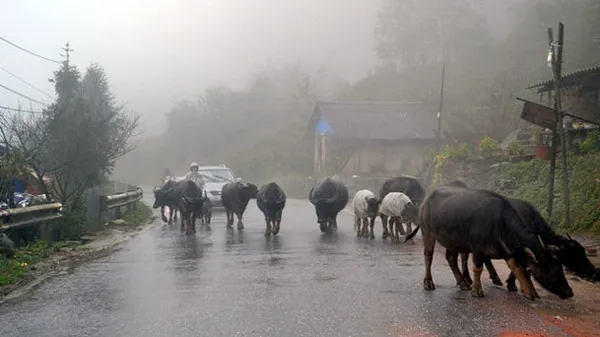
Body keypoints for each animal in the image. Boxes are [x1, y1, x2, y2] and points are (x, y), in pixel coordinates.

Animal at [408, 185, 572, 300]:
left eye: (560, 268)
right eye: (554, 271)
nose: (569, 292)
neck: (499, 222)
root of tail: (426, 201)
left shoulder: (510, 251)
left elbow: (518, 269)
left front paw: (529, 292)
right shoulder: (477, 248)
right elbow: (478, 268)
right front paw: (477, 290)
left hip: (454, 240)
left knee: (451, 258)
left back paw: (462, 283)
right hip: (427, 231)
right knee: (428, 255)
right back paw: (429, 282)